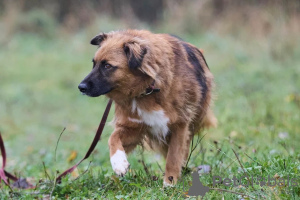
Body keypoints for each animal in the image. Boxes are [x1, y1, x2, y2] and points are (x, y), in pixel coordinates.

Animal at [78, 29, 217, 186]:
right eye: (94, 63)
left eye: (107, 66)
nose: (81, 87)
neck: (148, 89)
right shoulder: (133, 127)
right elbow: (112, 138)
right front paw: (119, 163)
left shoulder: (179, 126)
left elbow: (174, 157)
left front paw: (170, 183)